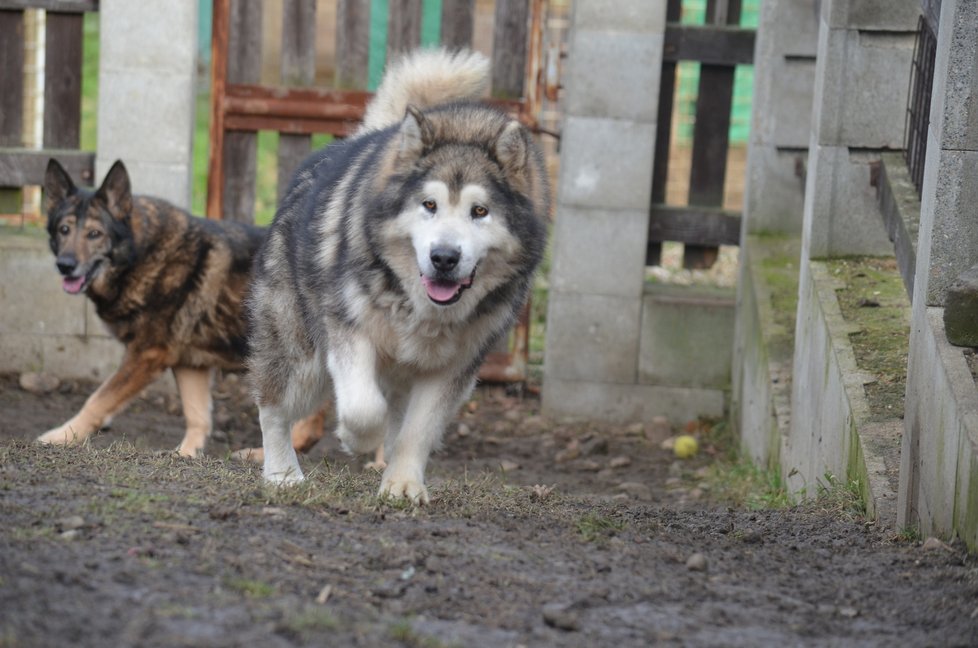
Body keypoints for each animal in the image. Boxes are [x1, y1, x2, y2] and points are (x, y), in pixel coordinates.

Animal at [37, 161, 332, 456]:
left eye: (94, 234)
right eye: (64, 230)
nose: (65, 265)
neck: (141, 253)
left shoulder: (146, 355)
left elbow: (97, 400)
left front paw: (62, 436)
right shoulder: (190, 364)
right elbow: (197, 416)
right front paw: (186, 455)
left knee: (306, 427)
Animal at [248, 48, 548, 504]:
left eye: (480, 211)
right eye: (429, 204)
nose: (444, 257)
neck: (420, 308)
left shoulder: (453, 369)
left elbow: (417, 430)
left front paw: (404, 481)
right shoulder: (349, 335)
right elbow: (362, 408)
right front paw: (354, 438)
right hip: (301, 355)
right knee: (275, 407)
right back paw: (282, 472)